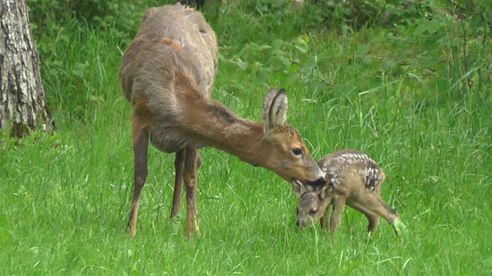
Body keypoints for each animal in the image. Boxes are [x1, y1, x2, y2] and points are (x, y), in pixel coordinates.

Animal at [119, 3, 324, 237]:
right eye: (297, 149)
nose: (321, 178)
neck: (172, 98)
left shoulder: (190, 135)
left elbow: (190, 176)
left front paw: (191, 231)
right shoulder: (139, 116)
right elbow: (140, 174)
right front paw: (130, 229)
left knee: (184, 165)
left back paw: (175, 217)